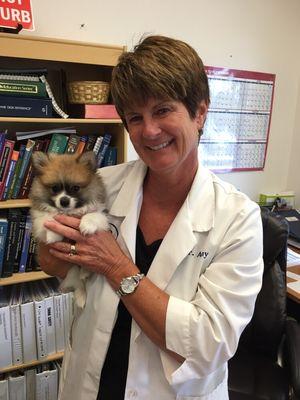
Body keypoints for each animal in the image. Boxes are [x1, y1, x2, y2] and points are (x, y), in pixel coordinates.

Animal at [29, 152, 109, 308]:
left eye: (75, 188)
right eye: (55, 188)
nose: (64, 201)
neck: (69, 212)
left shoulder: (101, 216)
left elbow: (91, 215)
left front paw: (86, 226)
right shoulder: (38, 220)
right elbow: (49, 218)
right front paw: (53, 234)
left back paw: (85, 272)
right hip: (71, 270)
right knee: (78, 283)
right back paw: (81, 295)